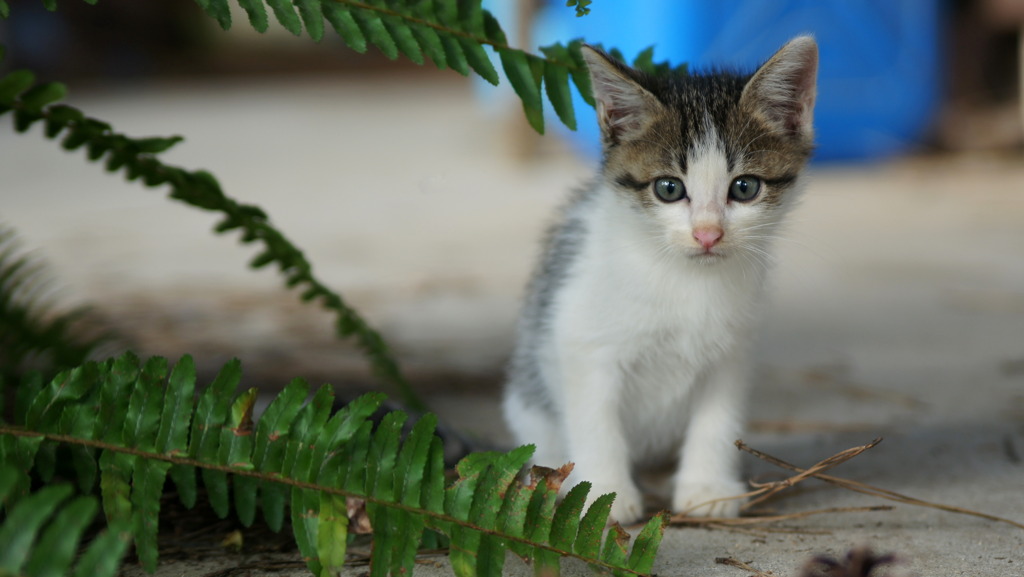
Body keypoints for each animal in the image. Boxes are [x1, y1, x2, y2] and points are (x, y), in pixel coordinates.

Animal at [501, 35, 815, 524]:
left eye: (744, 188)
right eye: (669, 189)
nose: (708, 234)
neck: (685, 279)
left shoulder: (732, 352)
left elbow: (717, 420)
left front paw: (707, 488)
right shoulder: (583, 342)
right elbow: (595, 421)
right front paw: (601, 493)